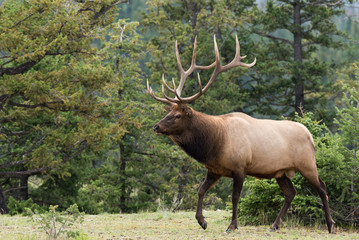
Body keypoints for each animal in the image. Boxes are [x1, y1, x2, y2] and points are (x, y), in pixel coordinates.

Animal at [146, 35, 334, 232]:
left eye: (177, 115)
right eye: (168, 112)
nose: (156, 127)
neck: (214, 143)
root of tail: (310, 135)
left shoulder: (240, 167)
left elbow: (235, 197)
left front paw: (232, 225)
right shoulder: (214, 169)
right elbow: (200, 190)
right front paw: (202, 221)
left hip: (307, 163)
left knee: (322, 188)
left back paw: (330, 225)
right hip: (281, 172)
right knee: (291, 192)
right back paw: (274, 225)